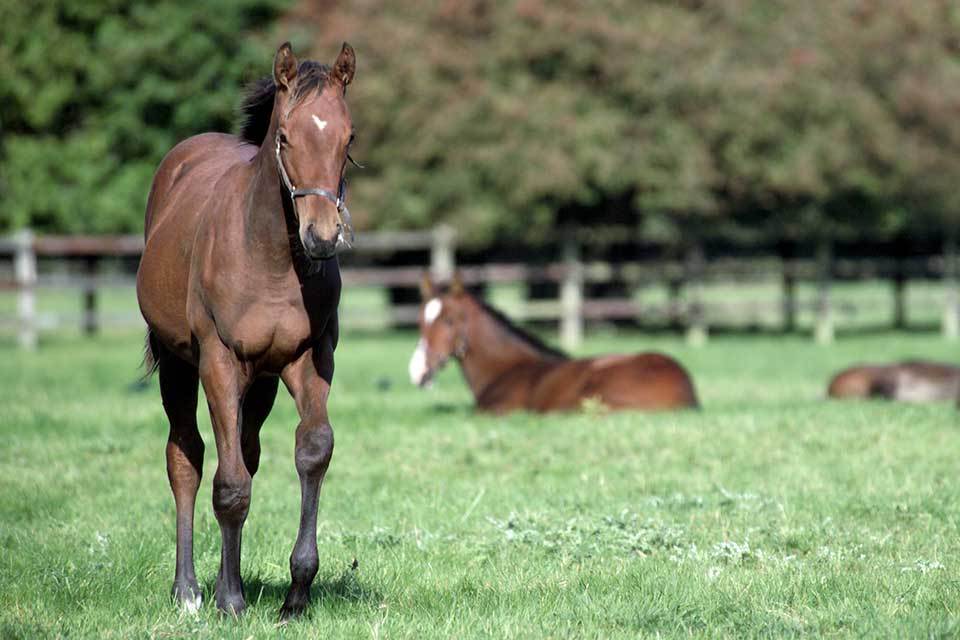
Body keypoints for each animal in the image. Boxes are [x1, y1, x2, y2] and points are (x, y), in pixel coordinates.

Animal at [135, 42, 357, 619]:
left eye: (348, 138)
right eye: (285, 137)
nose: (322, 236)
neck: (272, 259)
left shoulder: (311, 357)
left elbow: (313, 449)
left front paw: (297, 592)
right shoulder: (219, 359)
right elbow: (228, 483)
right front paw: (231, 600)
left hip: (261, 381)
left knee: (246, 452)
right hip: (179, 364)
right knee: (187, 458)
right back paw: (190, 590)